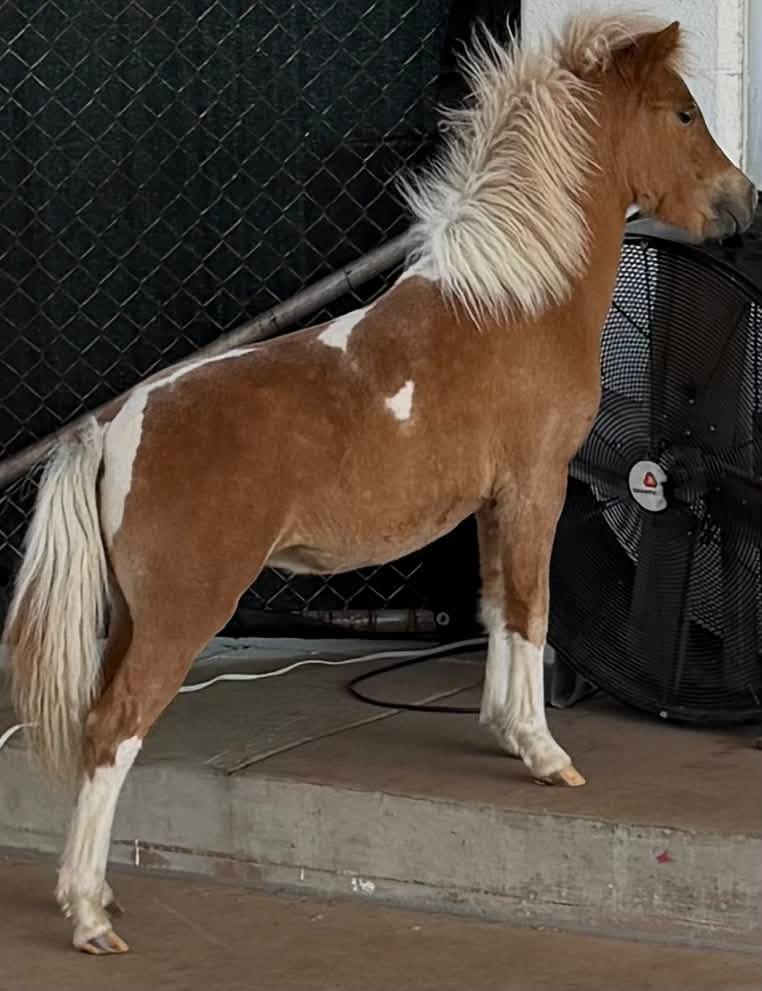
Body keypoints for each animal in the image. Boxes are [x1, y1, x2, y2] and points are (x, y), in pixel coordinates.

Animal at [3, 12, 756, 955]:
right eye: (684, 113)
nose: (744, 203)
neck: (517, 300)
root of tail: (111, 427)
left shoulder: (492, 503)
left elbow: (495, 607)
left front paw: (504, 731)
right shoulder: (538, 485)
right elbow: (534, 609)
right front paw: (546, 753)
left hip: (132, 618)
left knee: (99, 723)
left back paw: (99, 895)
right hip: (183, 614)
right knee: (115, 730)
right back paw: (89, 914)